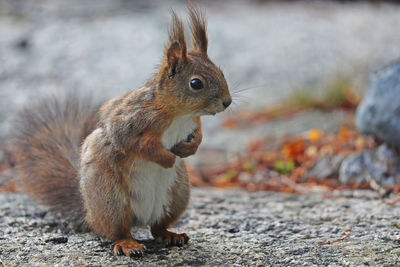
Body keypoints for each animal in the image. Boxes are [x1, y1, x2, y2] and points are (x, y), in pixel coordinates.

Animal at [8, 5, 231, 258]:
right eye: (196, 83)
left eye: (221, 72)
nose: (227, 102)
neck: (179, 114)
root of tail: (89, 212)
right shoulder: (131, 121)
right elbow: (135, 144)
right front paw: (167, 158)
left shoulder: (192, 121)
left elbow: (198, 132)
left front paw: (191, 147)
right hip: (110, 199)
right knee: (117, 231)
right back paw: (128, 244)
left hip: (178, 195)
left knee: (157, 227)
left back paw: (171, 235)